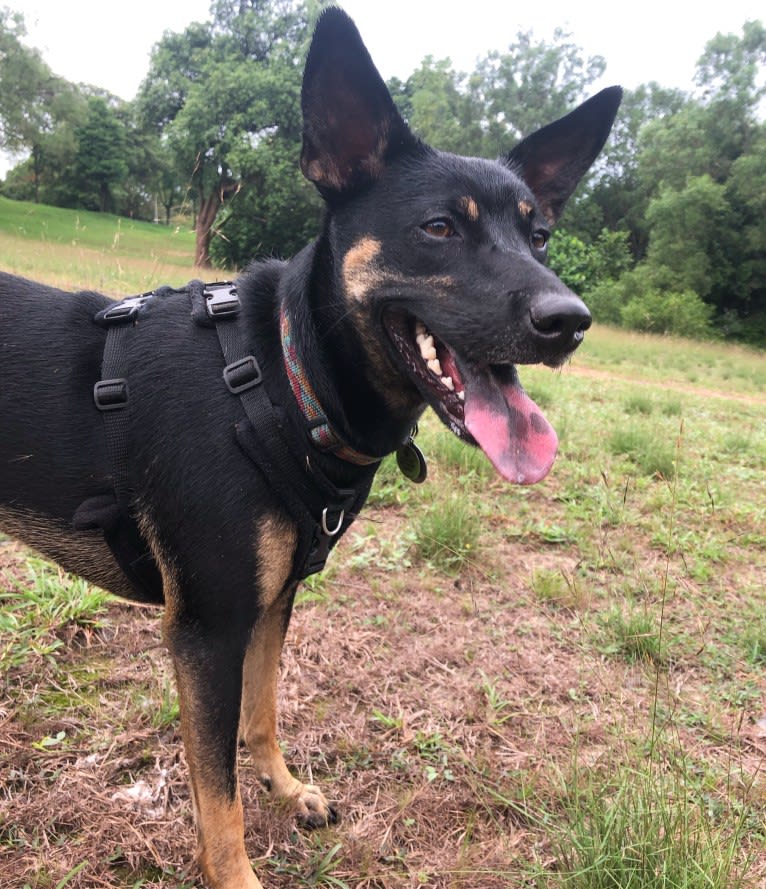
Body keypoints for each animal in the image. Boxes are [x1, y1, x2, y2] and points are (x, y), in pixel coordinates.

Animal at [0, 8, 624, 888]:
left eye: (539, 235)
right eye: (439, 228)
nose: (569, 321)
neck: (280, 378)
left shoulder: (273, 599)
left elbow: (261, 712)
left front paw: (287, 788)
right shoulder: (207, 626)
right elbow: (216, 790)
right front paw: (236, 872)